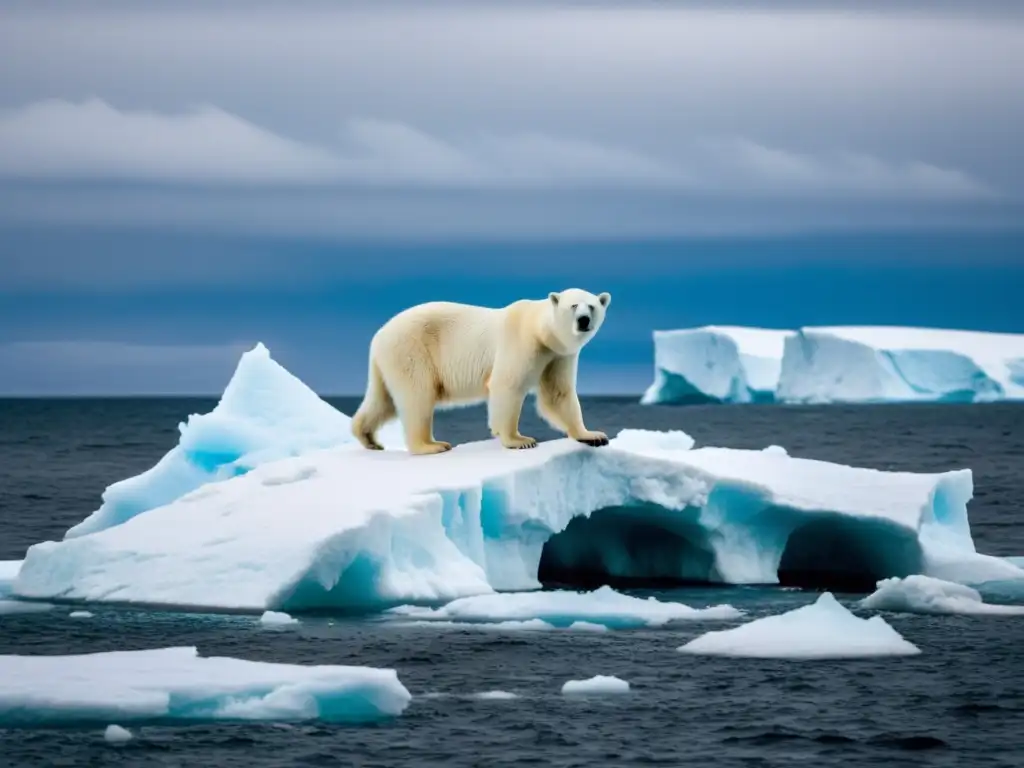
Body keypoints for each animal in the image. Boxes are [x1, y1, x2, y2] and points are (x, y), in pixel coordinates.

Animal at [352, 288, 610, 456]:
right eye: (574, 306)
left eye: (592, 306)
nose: (584, 320)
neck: (540, 331)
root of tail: (379, 335)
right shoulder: (521, 342)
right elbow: (507, 385)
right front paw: (519, 440)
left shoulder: (558, 355)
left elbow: (557, 394)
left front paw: (593, 435)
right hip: (412, 349)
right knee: (418, 396)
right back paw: (431, 445)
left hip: (390, 360)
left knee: (382, 400)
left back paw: (368, 438)